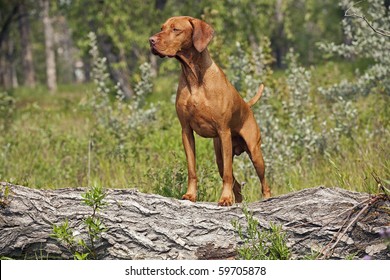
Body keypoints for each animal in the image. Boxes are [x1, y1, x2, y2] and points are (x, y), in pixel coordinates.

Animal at [149, 17, 272, 206]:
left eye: (176, 29)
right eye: (162, 28)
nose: (151, 41)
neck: (195, 77)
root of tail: (246, 105)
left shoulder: (223, 131)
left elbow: (228, 175)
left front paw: (225, 198)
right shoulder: (186, 131)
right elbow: (192, 169)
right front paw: (190, 195)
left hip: (254, 153)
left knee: (263, 183)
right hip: (220, 156)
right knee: (237, 185)